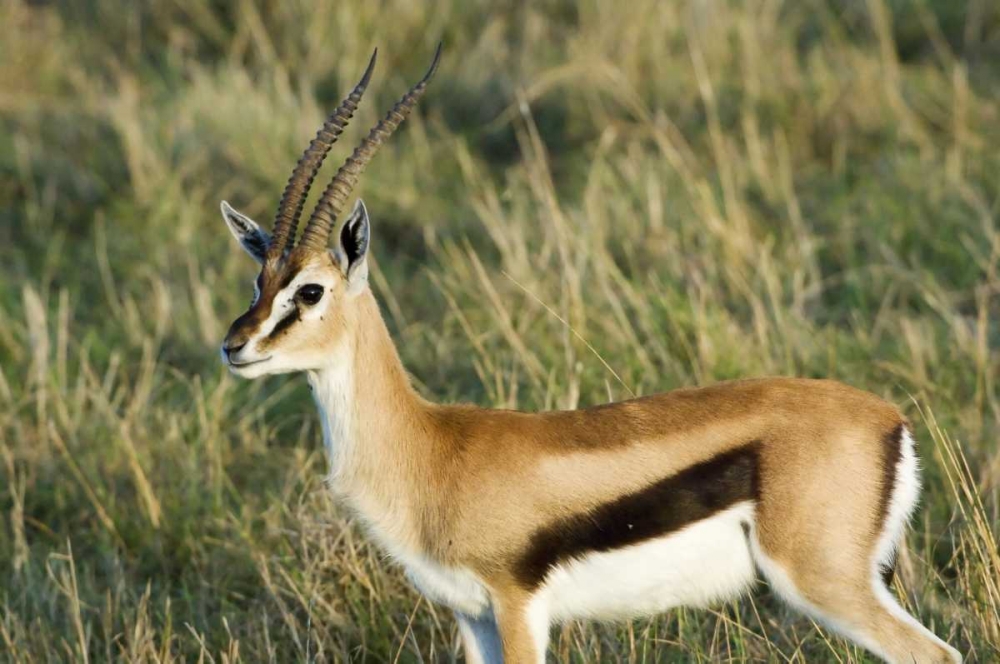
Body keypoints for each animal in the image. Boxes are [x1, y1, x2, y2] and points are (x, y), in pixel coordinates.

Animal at [218, 46, 961, 664]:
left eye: (310, 290)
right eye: (259, 281)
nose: (233, 346)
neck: (429, 450)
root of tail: (891, 420)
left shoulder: (514, 604)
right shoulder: (473, 617)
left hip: (823, 581)